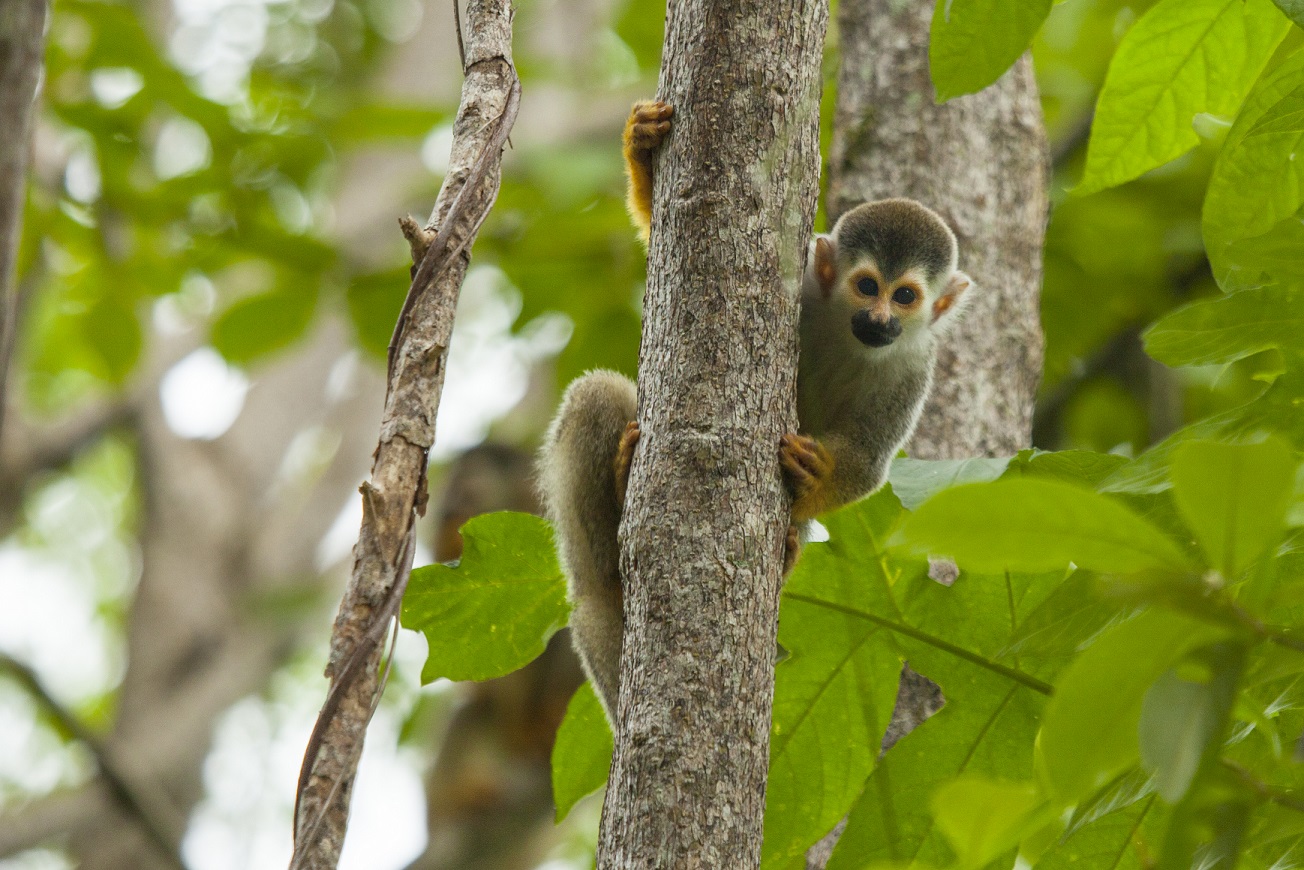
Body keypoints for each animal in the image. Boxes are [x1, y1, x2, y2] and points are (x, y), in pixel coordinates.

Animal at [534, 100, 975, 730]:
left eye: (906, 296)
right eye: (868, 286)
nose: (880, 319)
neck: (848, 335)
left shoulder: (914, 368)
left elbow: (868, 463)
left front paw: (815, 475)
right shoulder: (806, 286)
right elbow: (657, 252)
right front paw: (642, 149)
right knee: (595, 401)